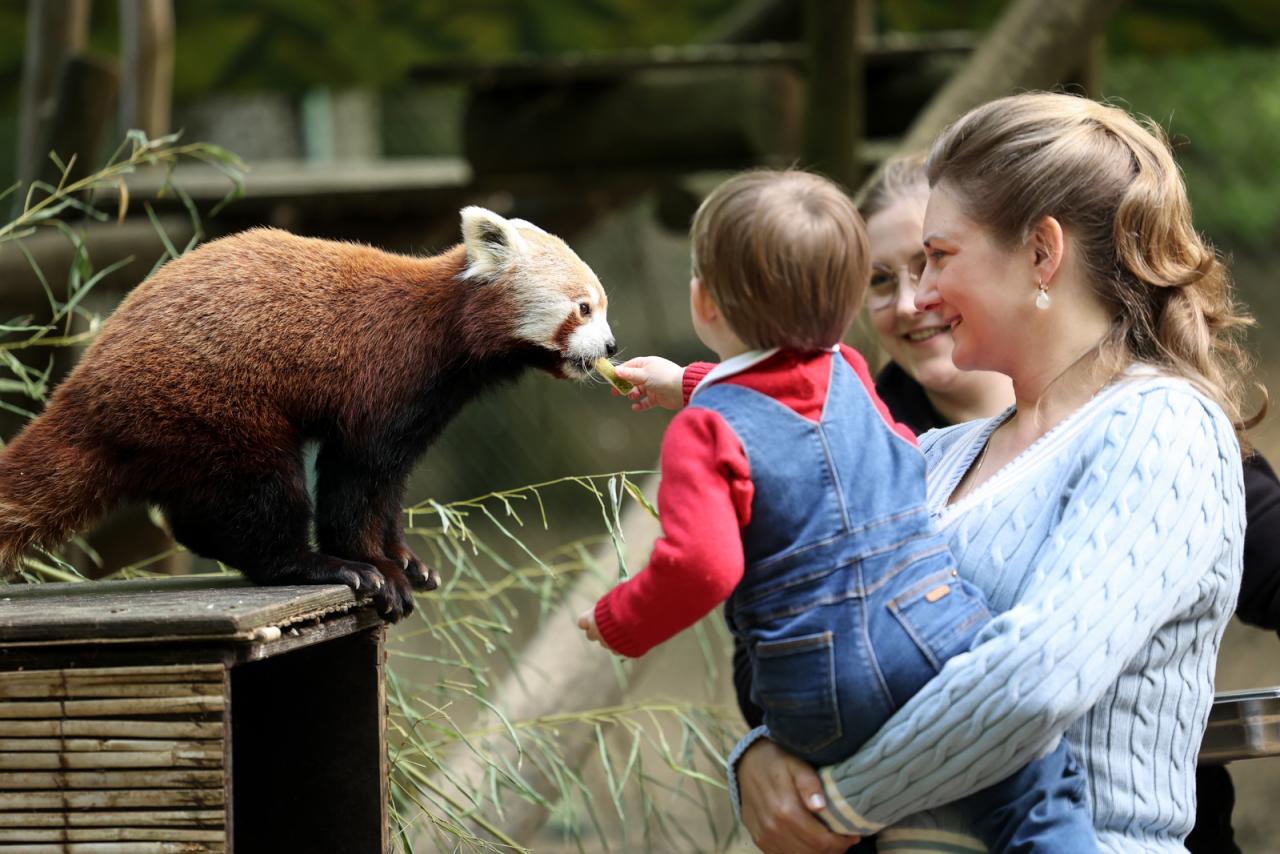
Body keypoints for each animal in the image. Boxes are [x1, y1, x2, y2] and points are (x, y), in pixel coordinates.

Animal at [0, 207, 614, 622]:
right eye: (583, 307)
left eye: (601, 306)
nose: (610, 347)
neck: (443, 328)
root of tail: (84, 387)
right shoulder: (382, 381)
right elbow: (357, 483)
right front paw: (377, 566)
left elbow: (388, 489)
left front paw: (405, 558)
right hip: (215, 407)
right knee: (261, 497)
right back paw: (316, 564)